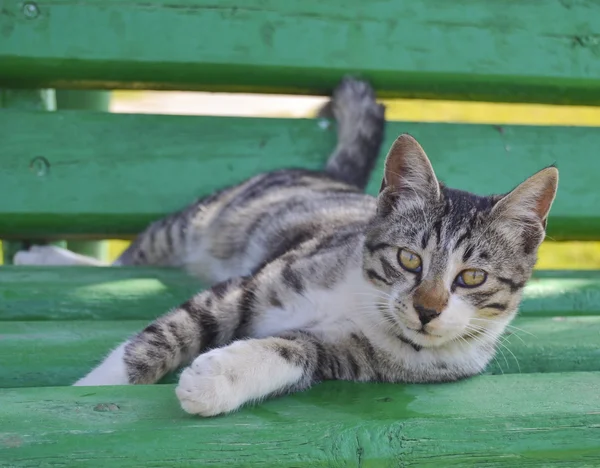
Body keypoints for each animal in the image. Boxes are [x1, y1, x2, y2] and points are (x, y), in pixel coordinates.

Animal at [14, 77, 556, 416]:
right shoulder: (250, 284)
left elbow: (294, 351)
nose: (426, 311)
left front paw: (215, 381)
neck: (362, 304)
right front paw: (91, 391)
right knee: (136, 254)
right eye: (409, 259)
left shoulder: (353, 357)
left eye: (472, 277)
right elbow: (165, 334)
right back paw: (46, 256)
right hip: (201, 221)